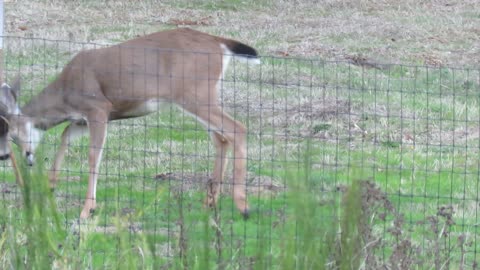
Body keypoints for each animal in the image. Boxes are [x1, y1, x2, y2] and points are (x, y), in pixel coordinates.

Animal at [0, 28, 258, 219]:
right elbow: (65, 136)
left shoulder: (98, 107)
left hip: (194, 94)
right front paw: (51, 186)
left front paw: (87, 209)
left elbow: (93, 156)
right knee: (221, 138)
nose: (8, 156)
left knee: (237, 129)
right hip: (203, 95)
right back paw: (210, 203)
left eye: (12, 134)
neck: (65, 93)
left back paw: (243, 206)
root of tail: (220, 43)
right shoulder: (81, 119)